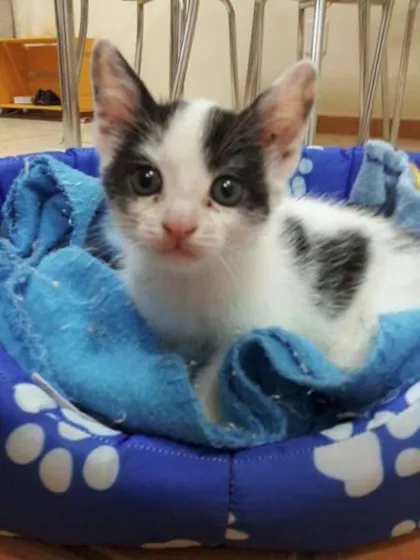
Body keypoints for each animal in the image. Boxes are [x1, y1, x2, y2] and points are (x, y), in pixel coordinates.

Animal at [91, 39, 420, 423]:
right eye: (145, 180)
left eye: (227, 190)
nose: (179, 225)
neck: (191, 283)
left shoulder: (261, 324)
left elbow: (226, 365)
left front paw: (207, 418)